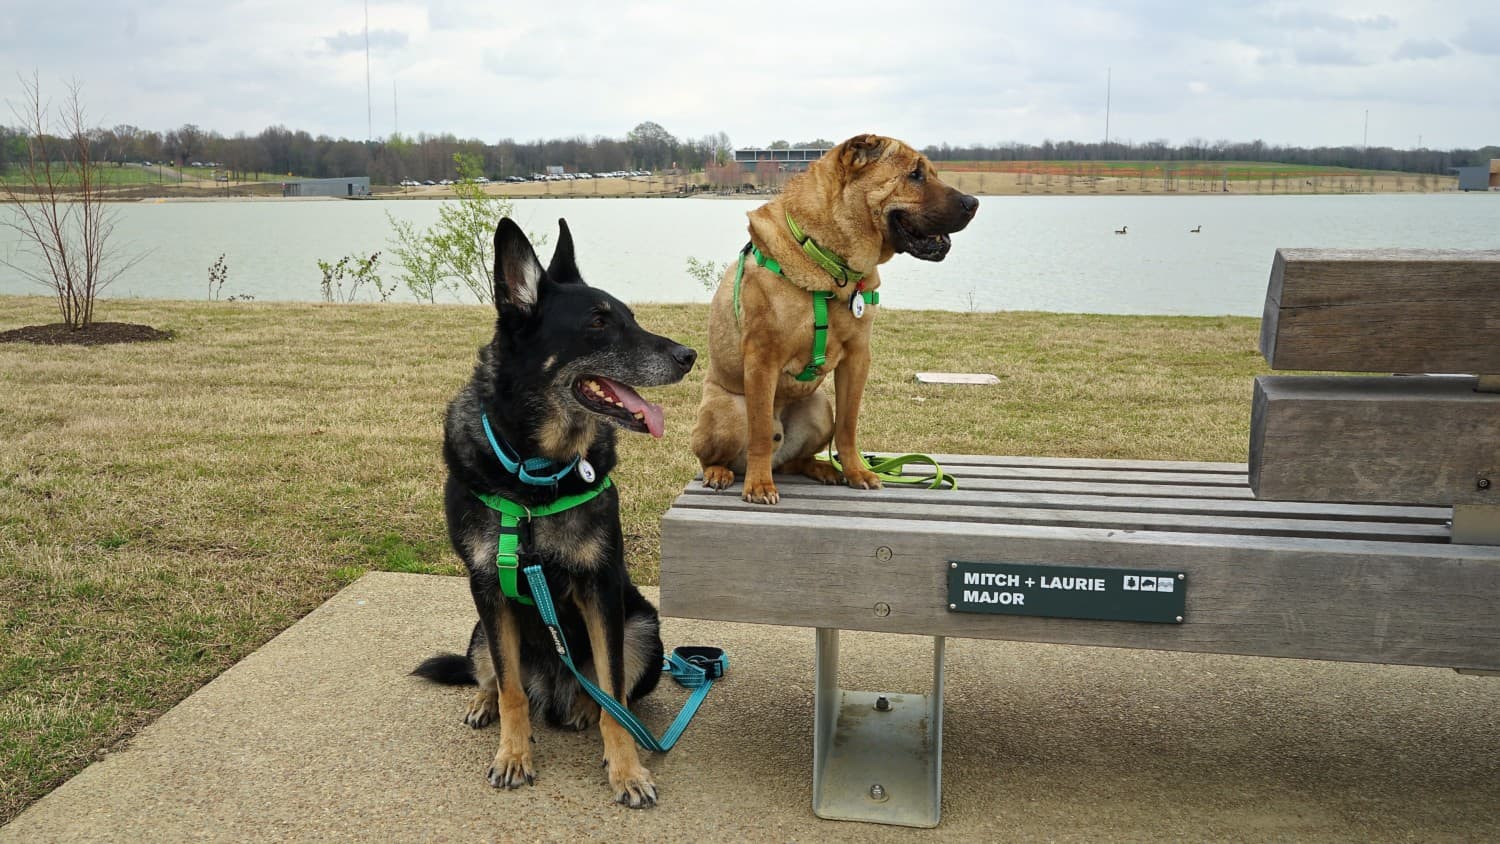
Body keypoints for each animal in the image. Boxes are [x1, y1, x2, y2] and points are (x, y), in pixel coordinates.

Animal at [411, 214, 690, 809]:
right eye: (599, 322)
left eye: (631, 317)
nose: (688, 356)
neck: (533, 476)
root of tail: (554, 687)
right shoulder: (488, 588)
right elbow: (511, 689)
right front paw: (513, 754)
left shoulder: (600, 587)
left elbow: (614, 695)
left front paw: (627, 770)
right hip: (479, 630)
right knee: (496, 677)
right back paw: (485, 703)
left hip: (642, 626)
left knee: (611, 691)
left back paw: (584, 707)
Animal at [693, 131, 978, 500]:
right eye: (915, 175)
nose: (974, 202)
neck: (830, 264)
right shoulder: (761, 359)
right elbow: (759, 432)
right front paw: (758, 485)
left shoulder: (857, 357)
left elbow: (848, 425)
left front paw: (856, 471)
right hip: (726, 412)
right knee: (719, 453)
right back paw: (720, 472)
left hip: (818, 408)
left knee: (794, 460)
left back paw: (823, 468)